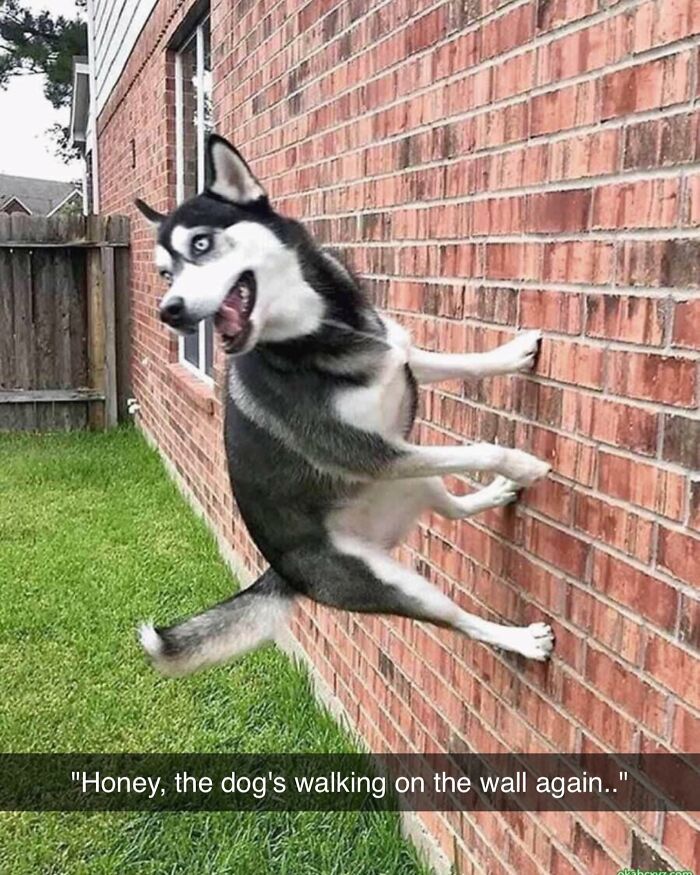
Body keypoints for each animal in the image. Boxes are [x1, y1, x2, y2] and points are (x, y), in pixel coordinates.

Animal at [135, 134, 554, 677]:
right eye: (166, 273)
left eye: (200, 245)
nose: (170, 311)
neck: (321, 331)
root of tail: (281, 572)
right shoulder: (372, 453)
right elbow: (482, 448)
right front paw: (523, 464)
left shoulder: (401, 359)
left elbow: (461, 364)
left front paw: (511, 355)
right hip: (390, 574)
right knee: (460, 619)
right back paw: (519, 638)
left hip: (414, 482)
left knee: (454, 509)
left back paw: (495, 495)